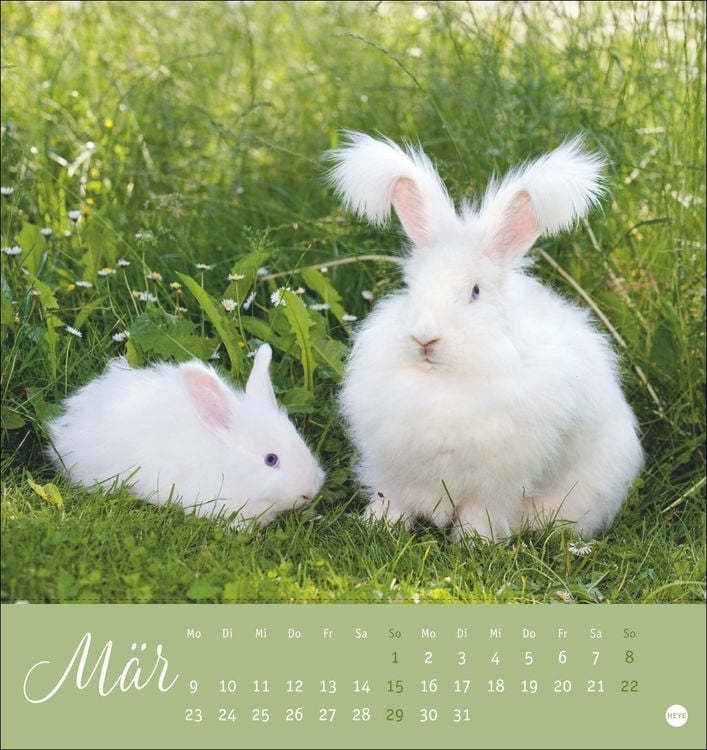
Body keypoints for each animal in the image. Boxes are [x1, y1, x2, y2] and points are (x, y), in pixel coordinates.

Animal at [328, 132, 643, 541]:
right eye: (411, 287)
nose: (425, 339)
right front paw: (379, 525)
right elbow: (392, 499)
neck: (442, 379)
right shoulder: (392, 469)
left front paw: (474, 542)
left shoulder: (497, 483)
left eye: (475, 292)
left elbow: (482, 511)